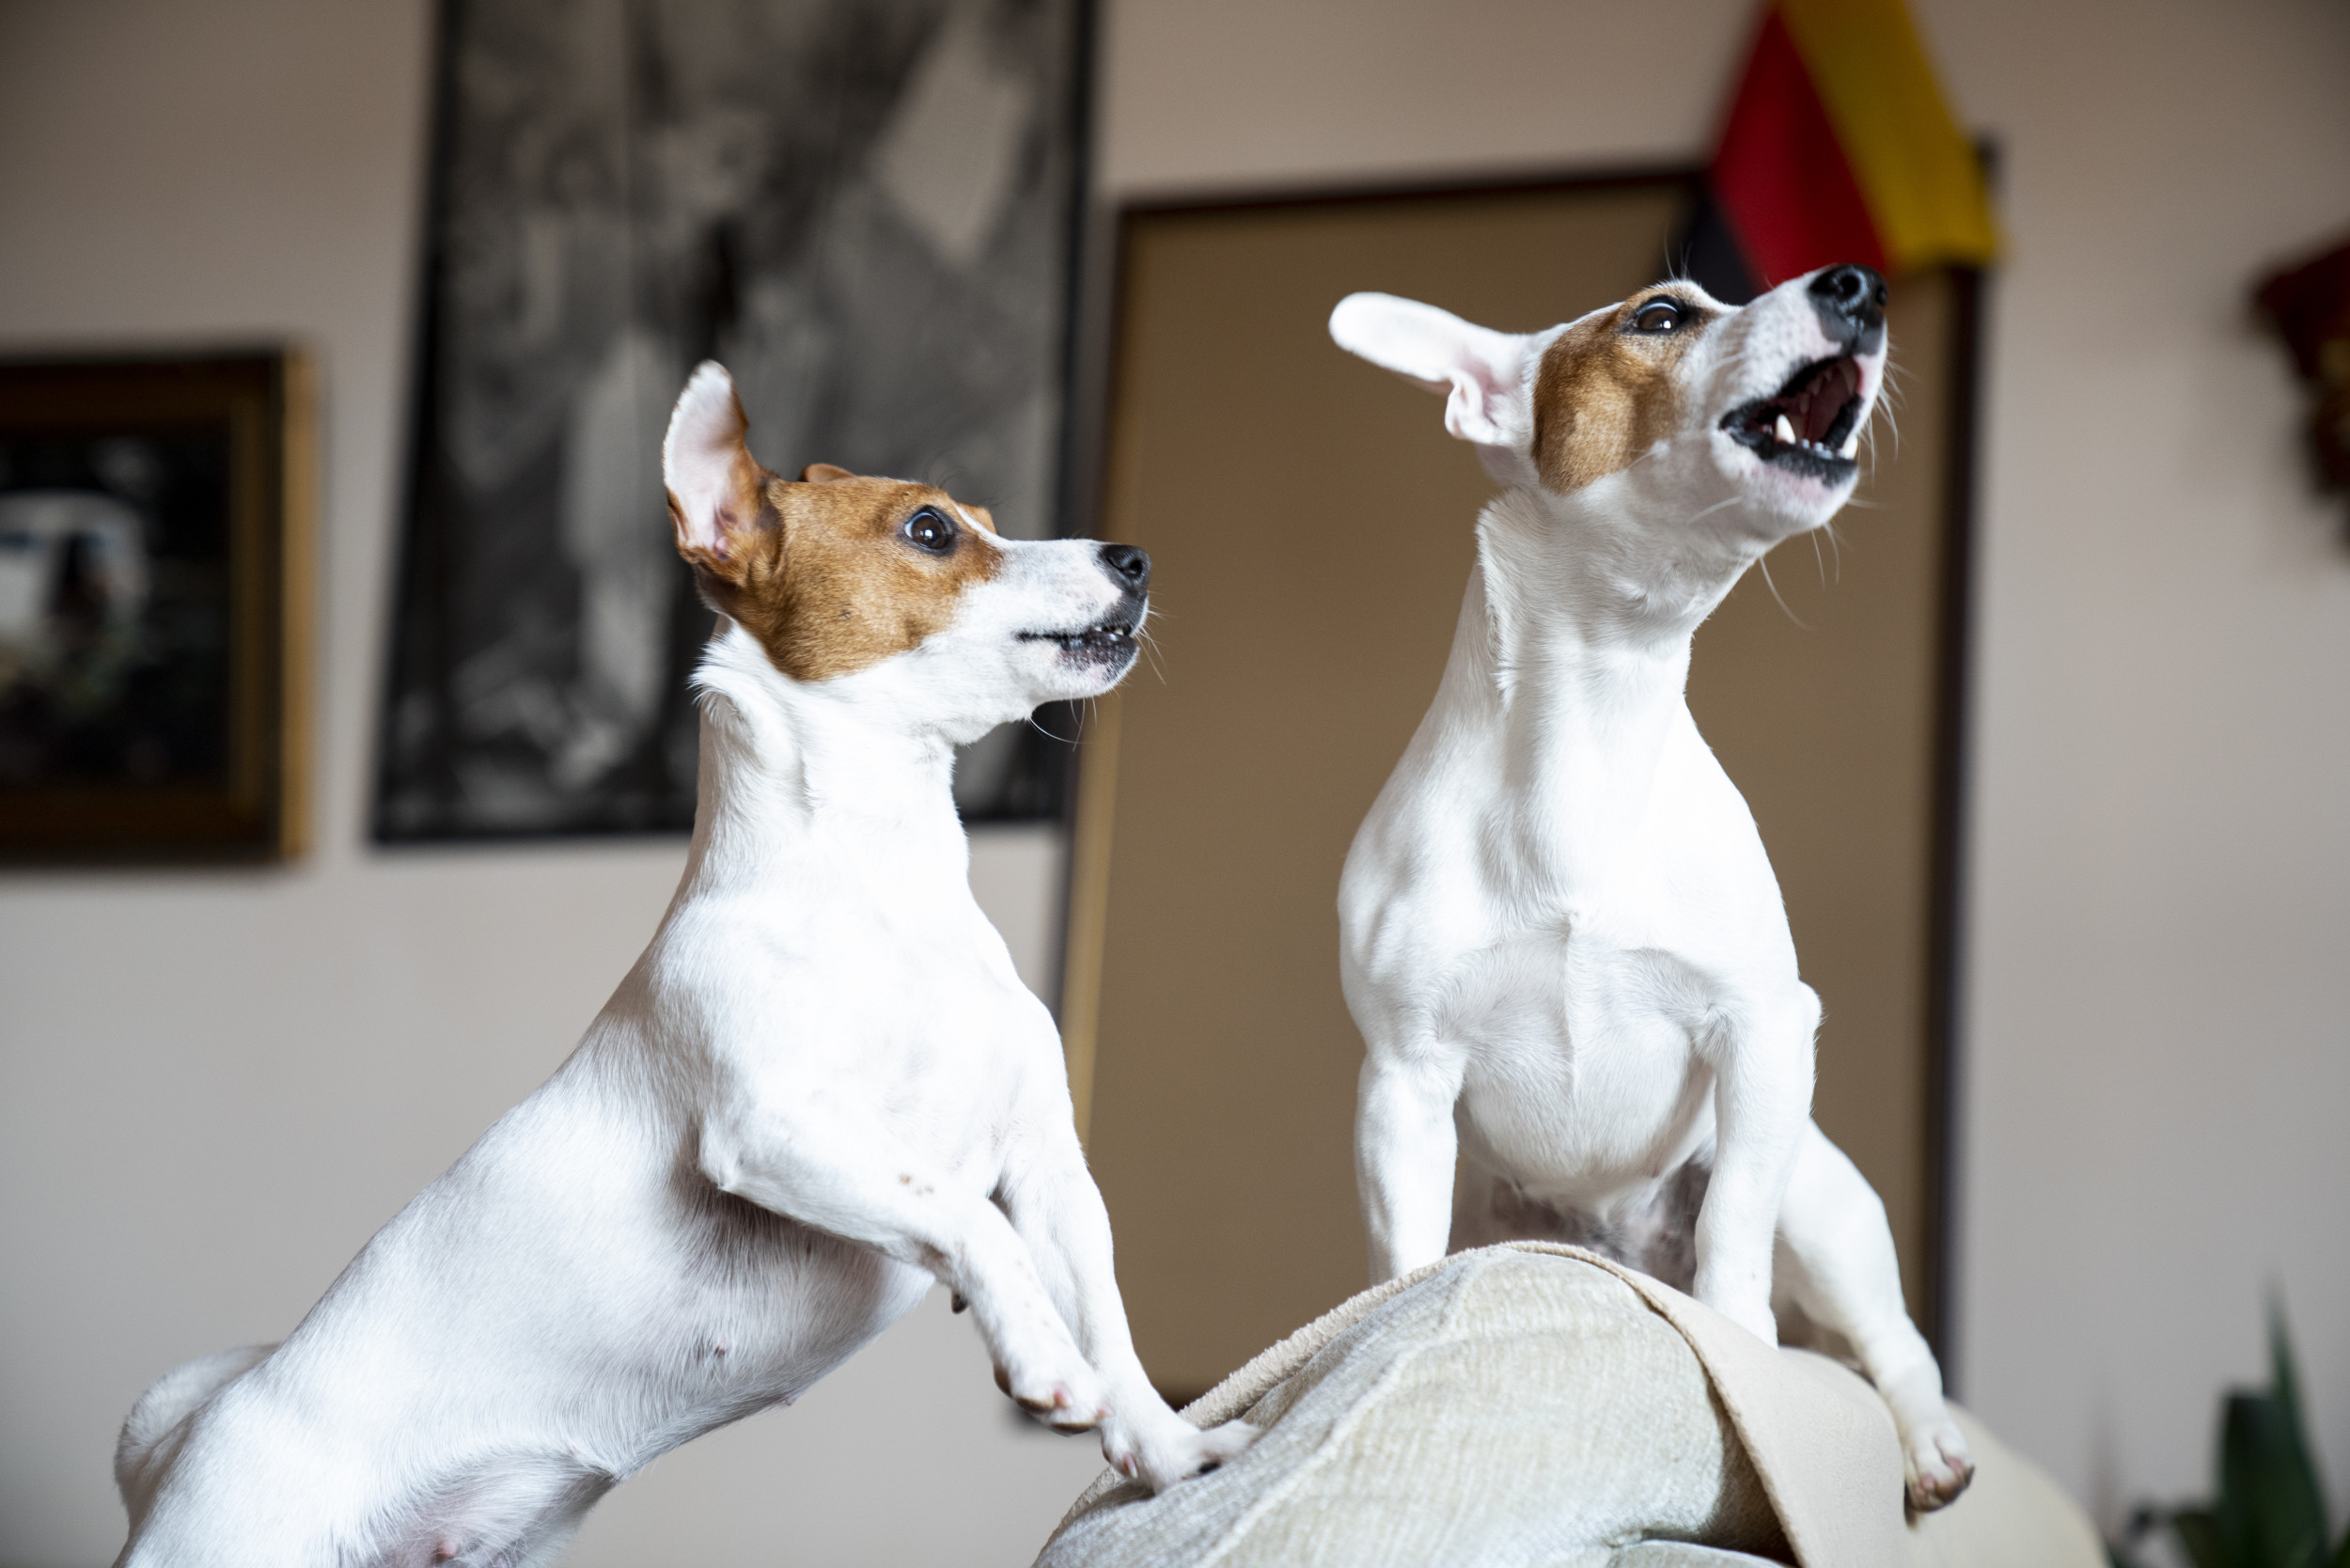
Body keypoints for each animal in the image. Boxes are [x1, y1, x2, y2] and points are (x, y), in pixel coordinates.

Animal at [112, 364, 1260, 1568]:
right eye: (931, 530)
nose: (1135, 558)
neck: (880, 890)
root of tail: (190, 1436)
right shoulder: (778, 1127)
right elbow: (968, 1221)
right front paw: (1040, 1357)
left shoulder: (1048, 1167)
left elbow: (1112, 1331)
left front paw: (1169, 1455)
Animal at [1335, 266, 1974, 1504]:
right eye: (1661, 316)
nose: (1858, 283)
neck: (1598, 708)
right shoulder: (1404, 1082)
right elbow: (1404, 1255)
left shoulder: (1764, 1032)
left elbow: (1733, 1240)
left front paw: (1741, 1345)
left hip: (1825, 1206)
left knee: (1891, 1345)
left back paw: (1927, 1445)